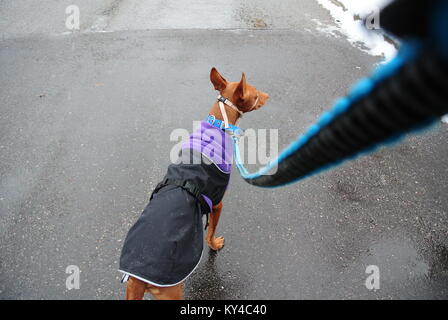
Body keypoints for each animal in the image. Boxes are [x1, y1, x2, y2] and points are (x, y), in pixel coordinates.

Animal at [121, 68, 268, 300]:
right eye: (255, 93)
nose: (268, 95)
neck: (218, 124)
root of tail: (136, 278)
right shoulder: (217, 203)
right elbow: (210, 233)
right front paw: (214, 245)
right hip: (173, 291)